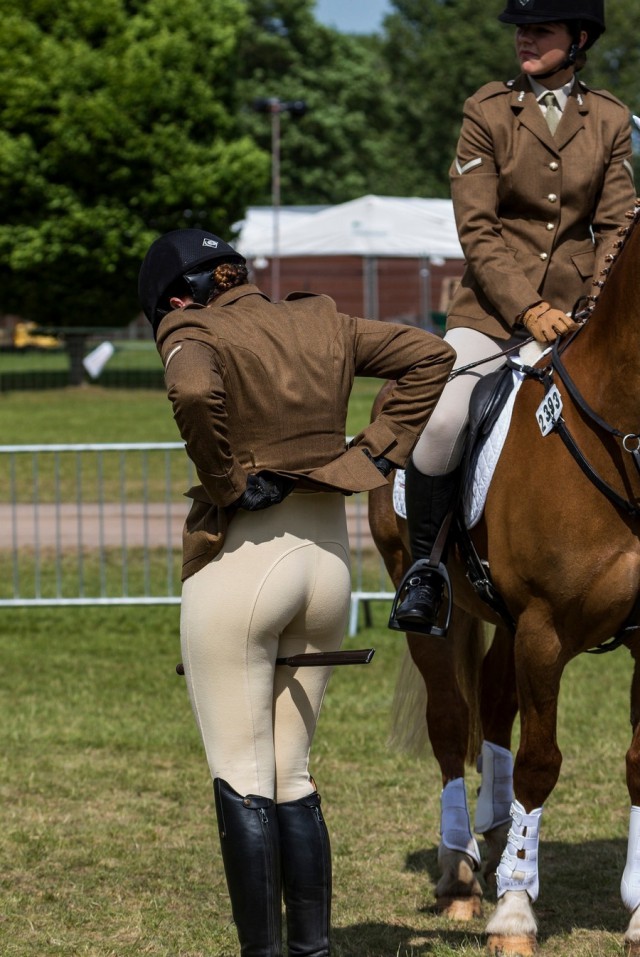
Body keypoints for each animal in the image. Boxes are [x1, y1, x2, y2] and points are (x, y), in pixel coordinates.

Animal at [368, 200, 640, 948]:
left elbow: (638, 762)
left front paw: (638, 911)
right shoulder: (545, 630)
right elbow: (540, 762)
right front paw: (515, 911)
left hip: (507, 622)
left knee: (491, 704)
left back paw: (493, 832)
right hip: (429, 603)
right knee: (449, 719)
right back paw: (462, 872)